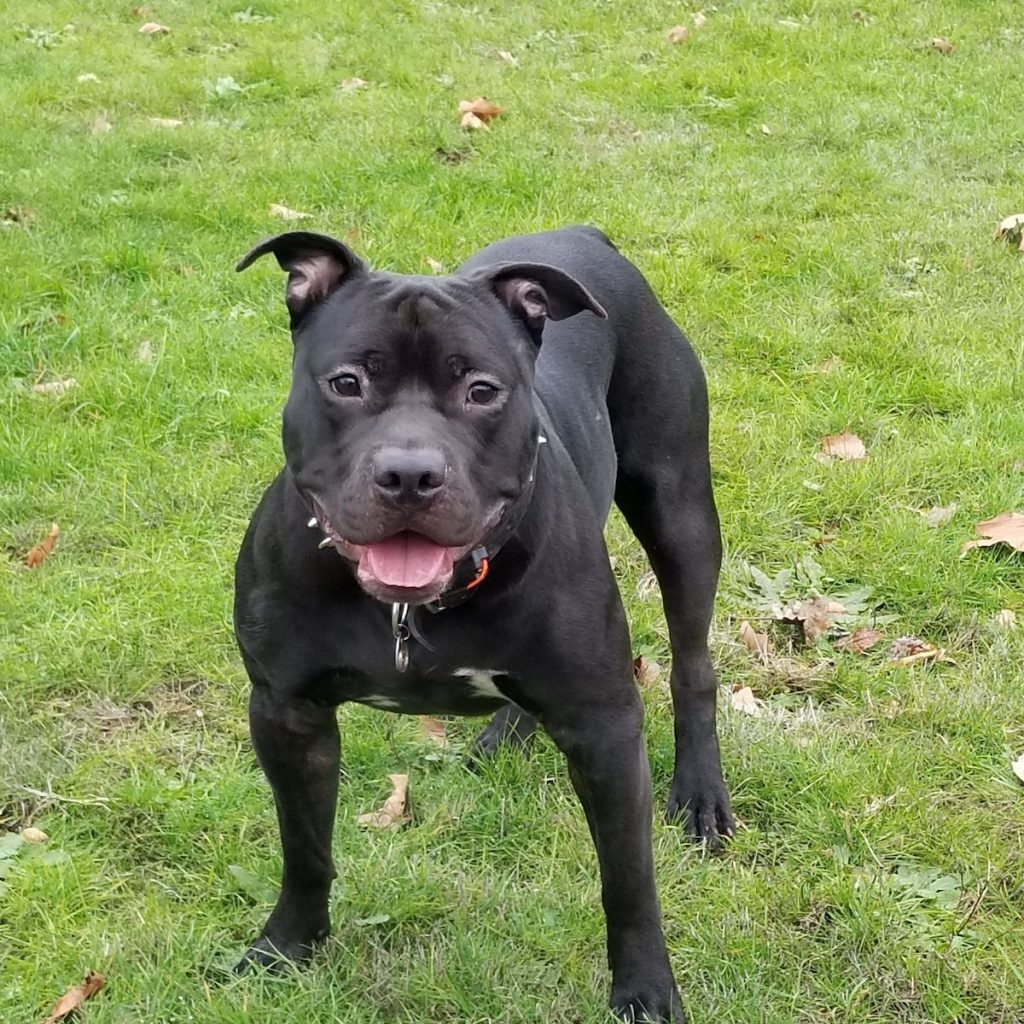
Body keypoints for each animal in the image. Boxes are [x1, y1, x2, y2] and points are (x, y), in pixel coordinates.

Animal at [231, 228, 733, 1019]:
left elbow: (628, 879)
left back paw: (702, 794)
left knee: (693, 664)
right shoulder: (287, 713)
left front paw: (647, 991)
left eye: (481, 391)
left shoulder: (605, 726)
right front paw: (288, 945)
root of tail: (581, 235)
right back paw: (505, 733)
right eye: (346, 384)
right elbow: (304, 847)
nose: (409, 475)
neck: (411, 608)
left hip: (679, 509)